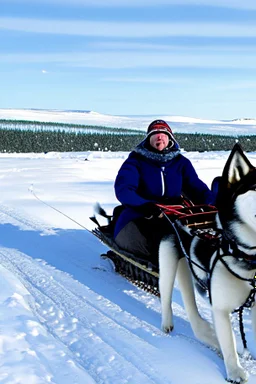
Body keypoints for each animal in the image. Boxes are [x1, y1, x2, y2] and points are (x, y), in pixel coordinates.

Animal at [159, 142, 255, 382]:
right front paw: (234, 371)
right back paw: (167, 324)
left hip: (186, 269)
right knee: (166, 296)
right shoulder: (220, 308)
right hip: (167, 266)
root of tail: (179, 211)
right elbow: (229, 344)